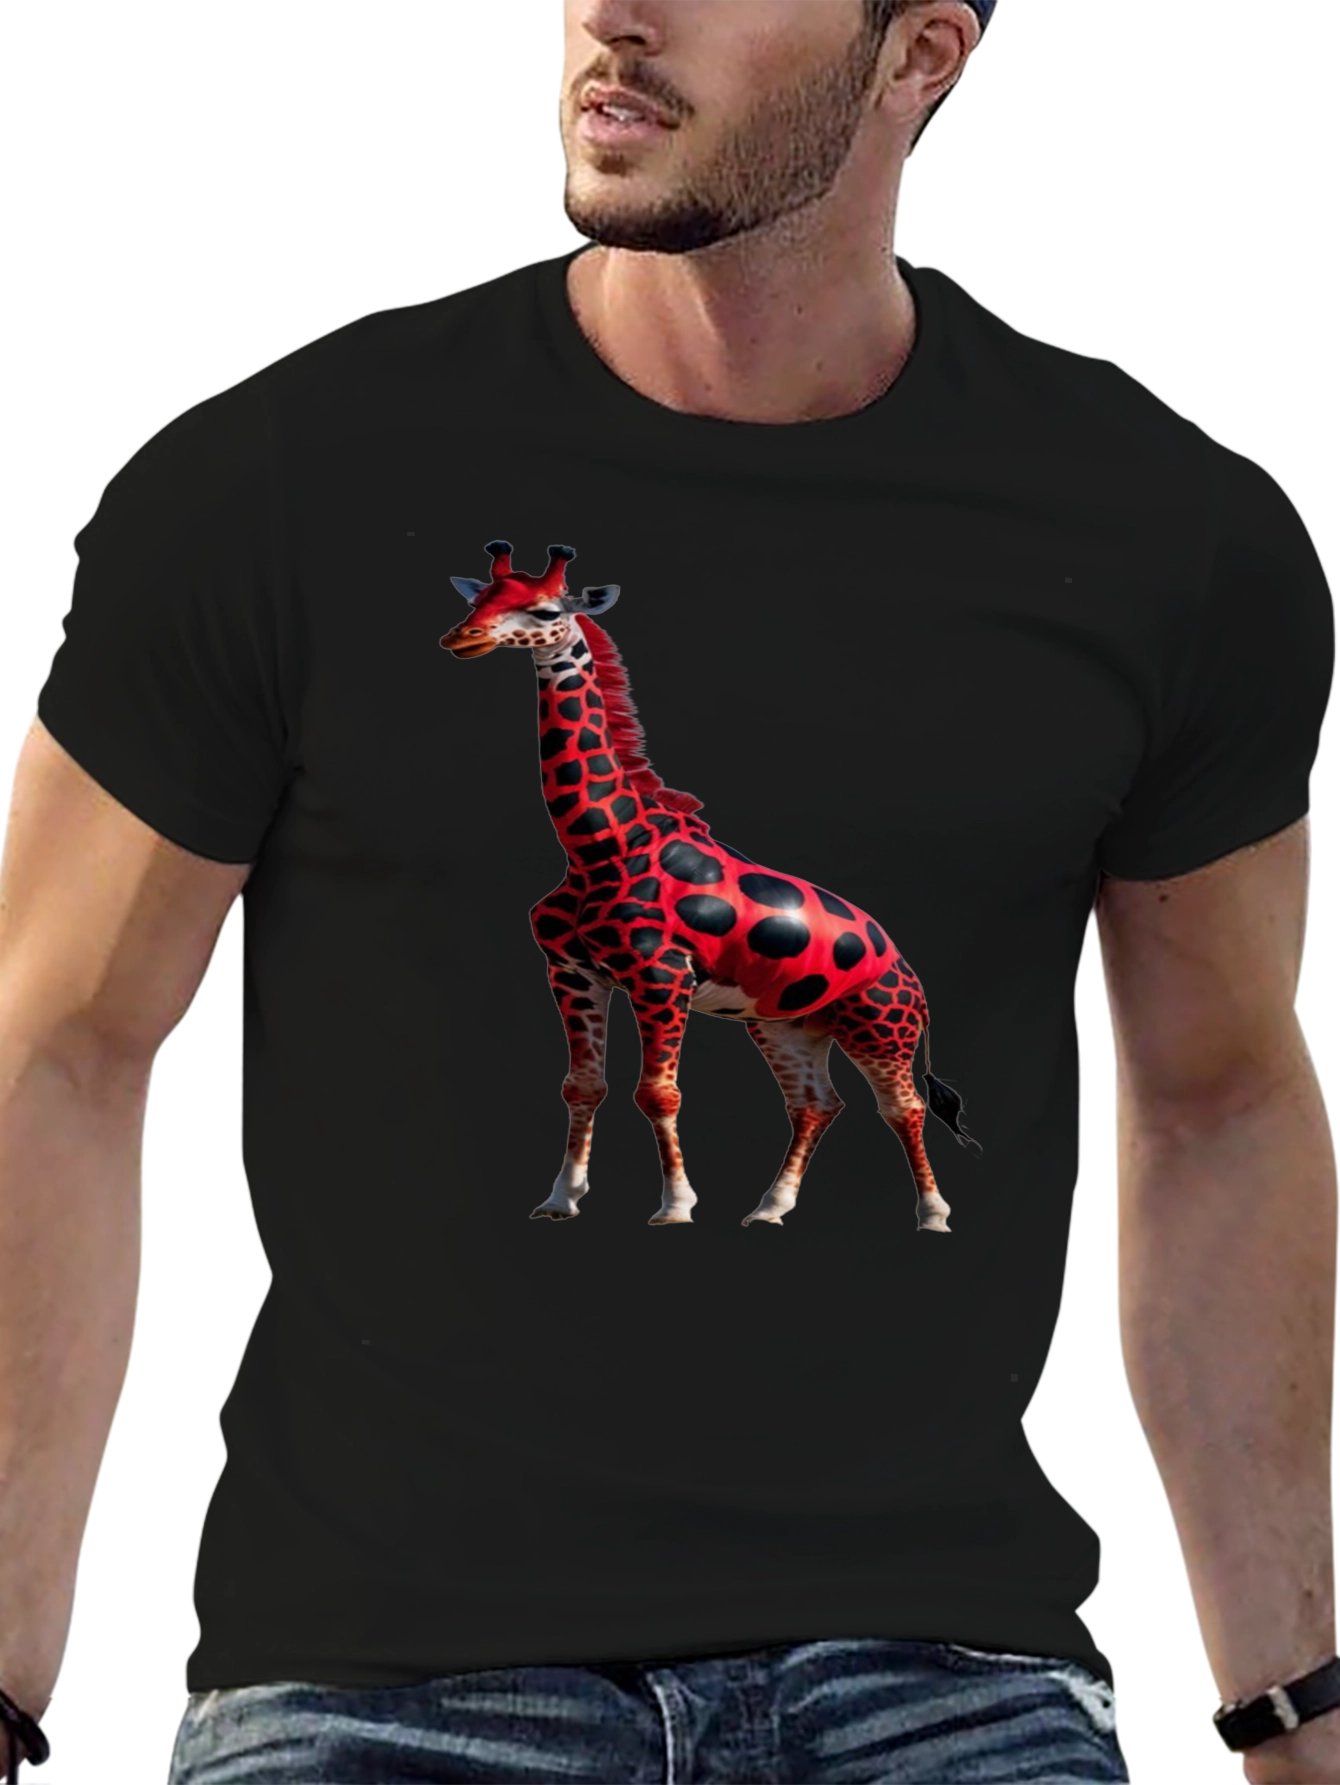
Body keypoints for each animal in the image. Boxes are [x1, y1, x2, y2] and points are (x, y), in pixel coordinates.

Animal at [442, 542, 977, 1232]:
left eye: (544, 610)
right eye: (479, 599)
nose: (463, 638)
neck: (597, 845)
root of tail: (910, 974)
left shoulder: (661, 978)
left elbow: (658, 1093)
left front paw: (675, 1206)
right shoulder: (573, 974)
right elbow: (582, 1086)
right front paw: (561, 1198)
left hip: (881, 1027)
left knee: (902, 1107)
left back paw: (933, 1214)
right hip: (788, 1026)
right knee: (816, 1103)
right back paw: (770, 1208)